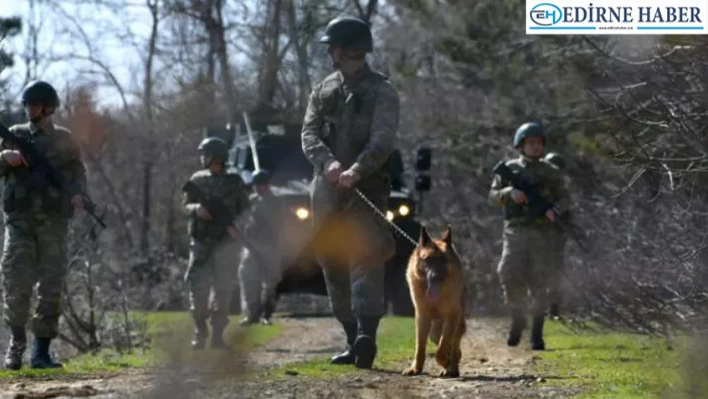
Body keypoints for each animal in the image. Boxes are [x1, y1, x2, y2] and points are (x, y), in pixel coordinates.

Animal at [402, 225, 468, 378]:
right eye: (428, 259)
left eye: (444, 260)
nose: (435, 277)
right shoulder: (422, 317)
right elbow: (420, 347)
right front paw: (416, 369)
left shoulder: (451, 316)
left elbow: (443, 346)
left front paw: (444, 361)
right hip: (434, 332)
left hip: (456, 324)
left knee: (454, 347)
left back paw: (452, 368)